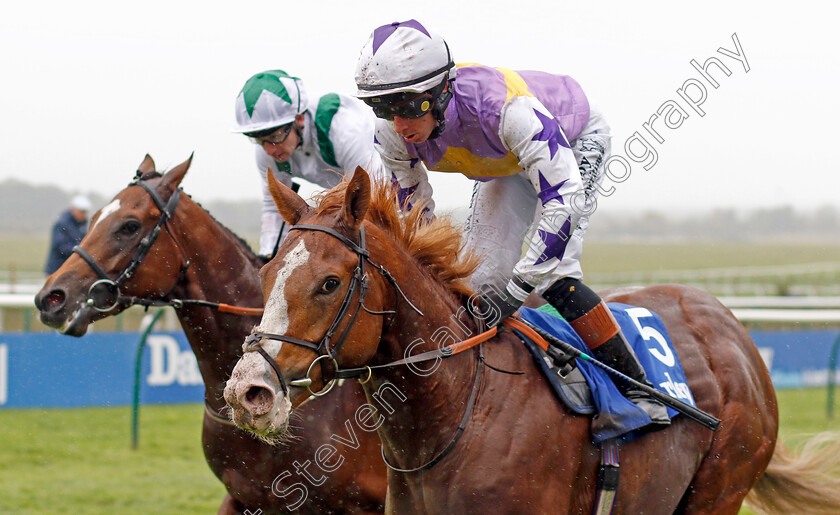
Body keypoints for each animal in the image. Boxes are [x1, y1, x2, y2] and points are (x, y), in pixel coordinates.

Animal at [226, 167, 840, 512]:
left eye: (329, 282)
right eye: (267, 271)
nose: (247, 391)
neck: (459, 412)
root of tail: (732, 328)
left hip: (721, 488)